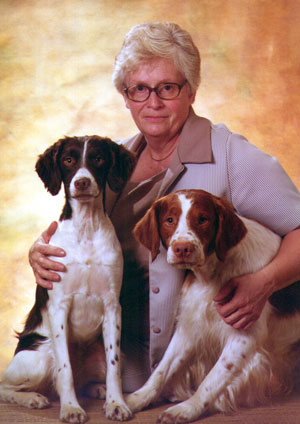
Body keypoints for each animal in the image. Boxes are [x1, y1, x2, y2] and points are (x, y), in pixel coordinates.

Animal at [0, 137, 136, 424]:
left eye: (98, 158)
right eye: (69, 160)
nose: (82, 182)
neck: (86, 229)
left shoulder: (112, 307)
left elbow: (114, 367)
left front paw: (116, 403)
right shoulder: (58, 306)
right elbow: (65, 369)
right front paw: (71, 408)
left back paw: (97, 389)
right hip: (39, 358)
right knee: (5, 386)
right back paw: (33, 398)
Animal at [126, 190, 300, 424]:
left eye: (203, 219)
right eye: (169, 220)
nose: (182, 248)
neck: (213, 273)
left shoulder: (244, 334)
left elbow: (213, 377)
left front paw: (187, 408)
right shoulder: (190, 327)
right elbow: (163, 368)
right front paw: (135, 398)